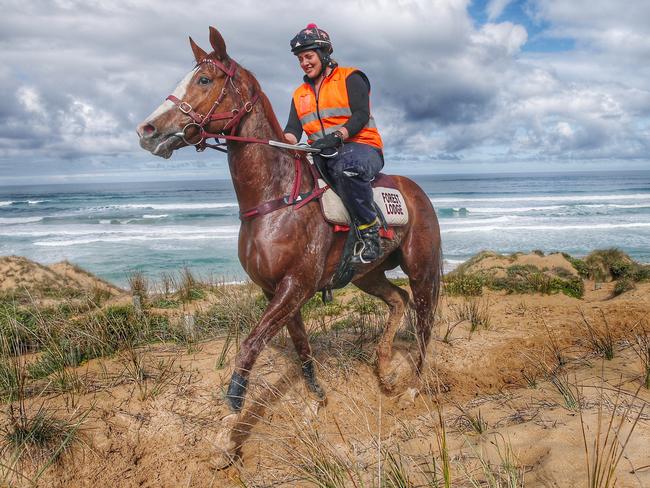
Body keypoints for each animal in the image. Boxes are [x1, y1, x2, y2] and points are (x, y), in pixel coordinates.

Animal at [136, 25, 440, 466]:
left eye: (204, 80)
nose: (147, 131)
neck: (276, 198)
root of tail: (416, 191)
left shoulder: (294, 286)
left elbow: (248, 347)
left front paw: (227, 431)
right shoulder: (277, 291)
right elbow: (301, 347)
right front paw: (316, 399)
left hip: (422, 269)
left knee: (424, 322)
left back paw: (413, 386)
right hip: (367, 275)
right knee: (397, 301)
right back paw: (384, 369)